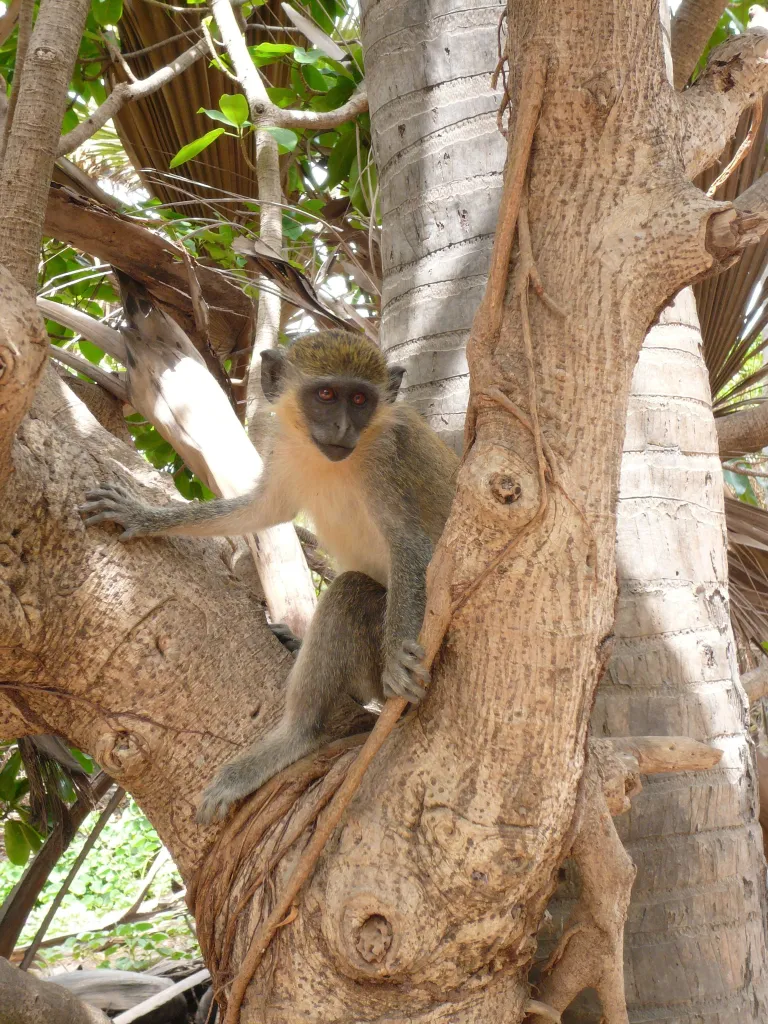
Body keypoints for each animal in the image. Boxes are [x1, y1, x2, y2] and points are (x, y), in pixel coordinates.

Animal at [81, 329, 460, 823]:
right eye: (325, 395)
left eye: (360, 399)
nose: (343, 429)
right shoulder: (281, 449)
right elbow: (260, 511)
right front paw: (144, 516)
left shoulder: (389, 461)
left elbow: (410, 544)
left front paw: (399, 656)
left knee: (350, 591)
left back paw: (295, 738)